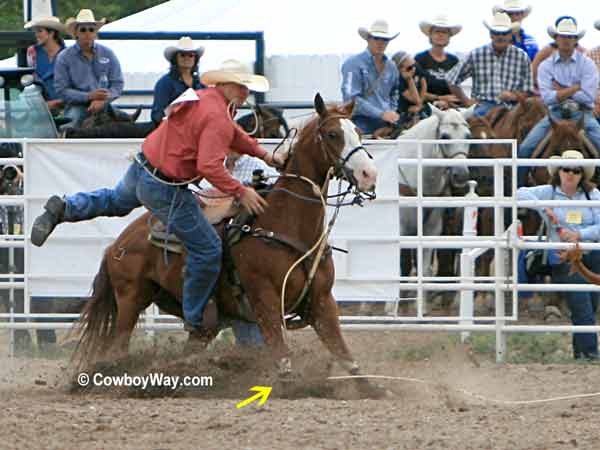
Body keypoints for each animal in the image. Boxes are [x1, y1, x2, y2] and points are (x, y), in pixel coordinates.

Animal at [74, 95, 376, 384]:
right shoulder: (265, 300)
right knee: (117, 349)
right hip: (130, 300)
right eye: (332, 134)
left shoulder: (322, 302)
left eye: (359, 131)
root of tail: (116, 244)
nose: (368, 174)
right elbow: (282, 357)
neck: (286, 224)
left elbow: (348, 358)